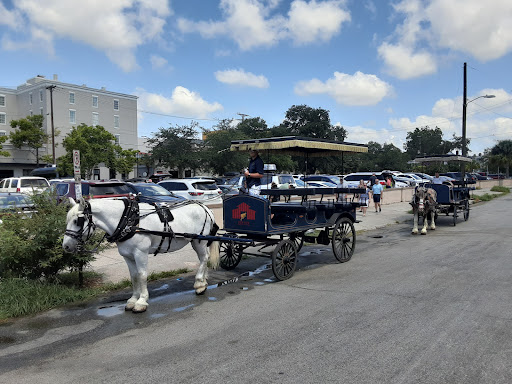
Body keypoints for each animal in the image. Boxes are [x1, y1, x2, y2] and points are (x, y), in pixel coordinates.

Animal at [63, 198, 219, 312]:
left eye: (78, 221)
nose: (66, 246)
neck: (129, 221)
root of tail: (205, 208)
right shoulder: (128, 255)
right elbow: (134, 276)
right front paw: (133, 299)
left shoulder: (140, 253)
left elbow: (142, 275)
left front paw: (142, 301)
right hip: (196, 241)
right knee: (203, 258)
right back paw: (203, 280)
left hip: (199, 240)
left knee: (204, 258)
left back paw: (199, 284)